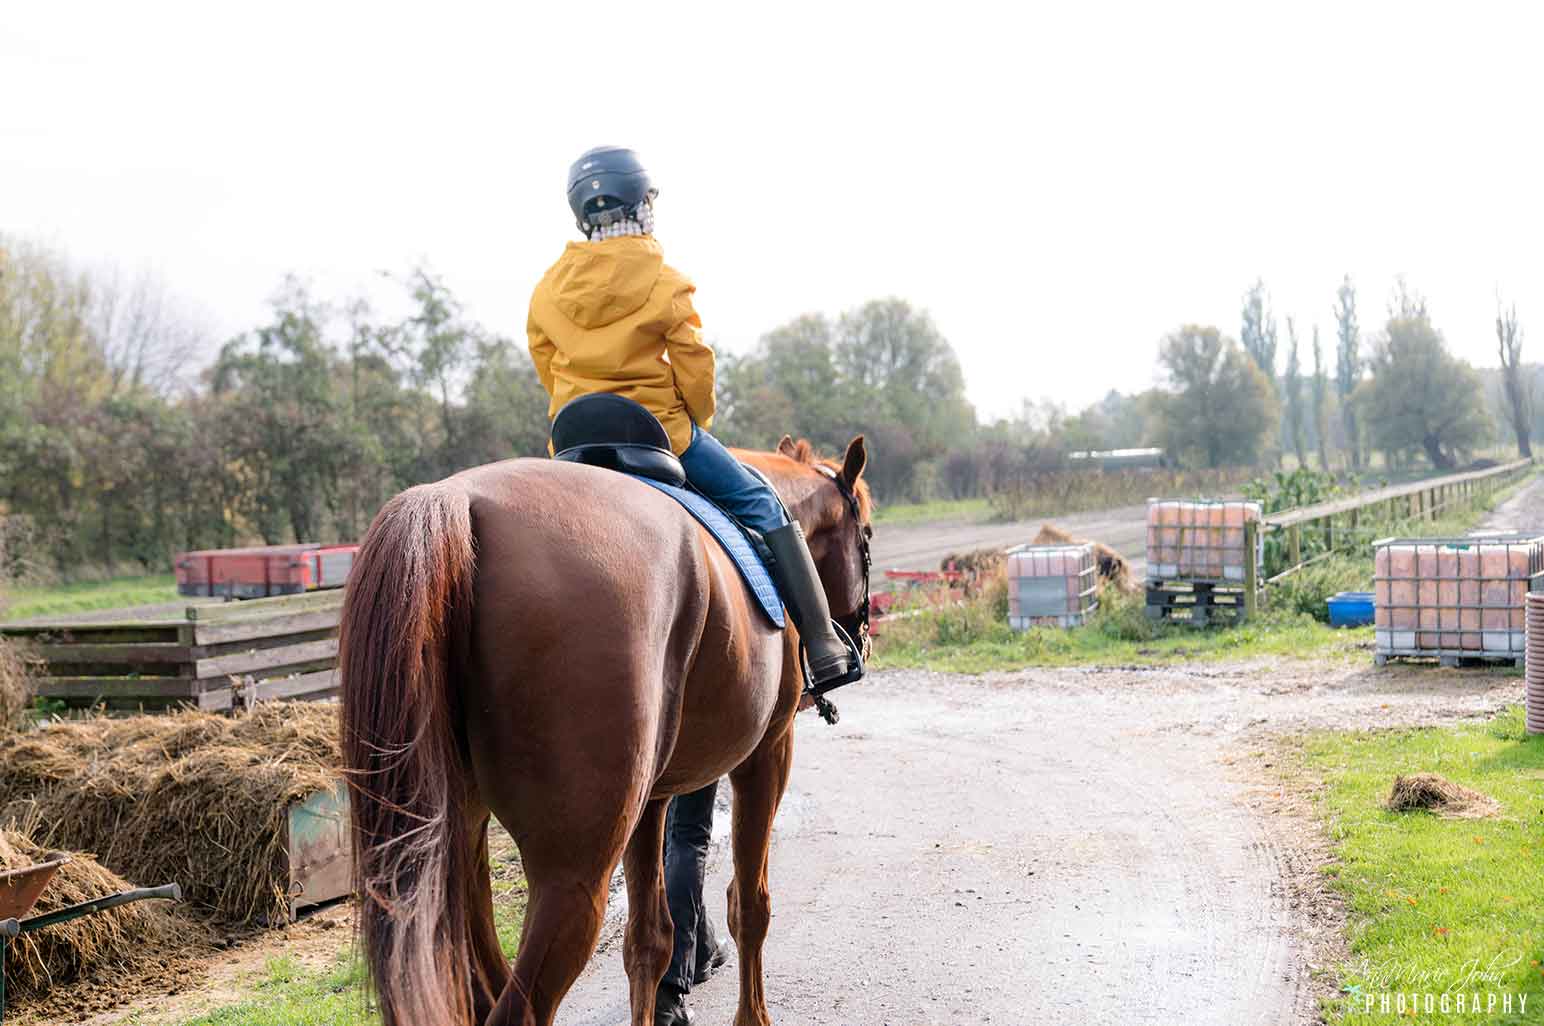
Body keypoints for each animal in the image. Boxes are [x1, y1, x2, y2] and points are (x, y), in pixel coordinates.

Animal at [338, 435, 870, 1024]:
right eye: (866, 534)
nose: (860, 636)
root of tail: (459, 499)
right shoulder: (768, 754)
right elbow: (750, 905)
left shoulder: (652, 797)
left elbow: (649, 940)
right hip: (573, 873)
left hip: (460, 848)